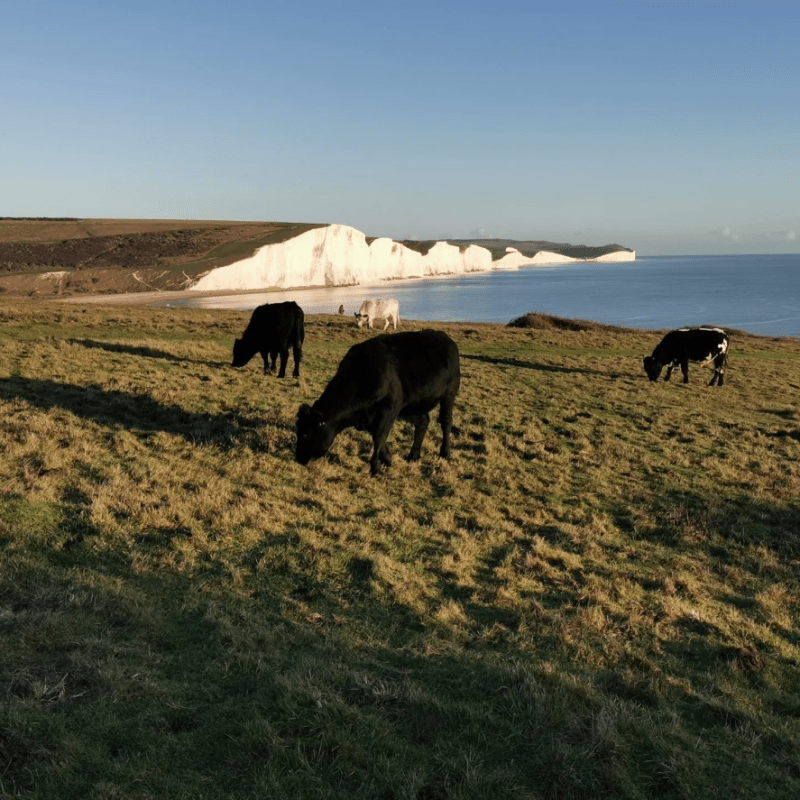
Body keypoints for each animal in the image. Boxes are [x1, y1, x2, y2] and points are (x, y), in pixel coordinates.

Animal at [296, 330, 460, 475]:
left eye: (304, 434)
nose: (298, 459)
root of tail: (446, 338)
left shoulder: (390, 408)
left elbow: (379, 436)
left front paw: (375, 468)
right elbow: (378, 436)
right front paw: (387, 459)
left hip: (449, 394)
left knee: (446, 422)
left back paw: (445, 452)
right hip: (414, 404)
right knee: (422, 422)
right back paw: (413, 455)